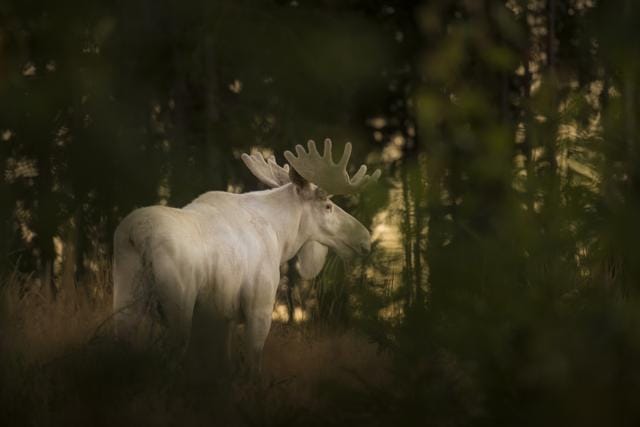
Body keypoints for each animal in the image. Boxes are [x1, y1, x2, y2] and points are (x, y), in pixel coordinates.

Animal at [112, 139, 380, 375]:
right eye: (328, 207)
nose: (364, 239)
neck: (283, 237)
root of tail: (137, 235)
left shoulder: (224, 317)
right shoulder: (259, 307)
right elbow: (253, 367)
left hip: (125, 301)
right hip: (179, 303)